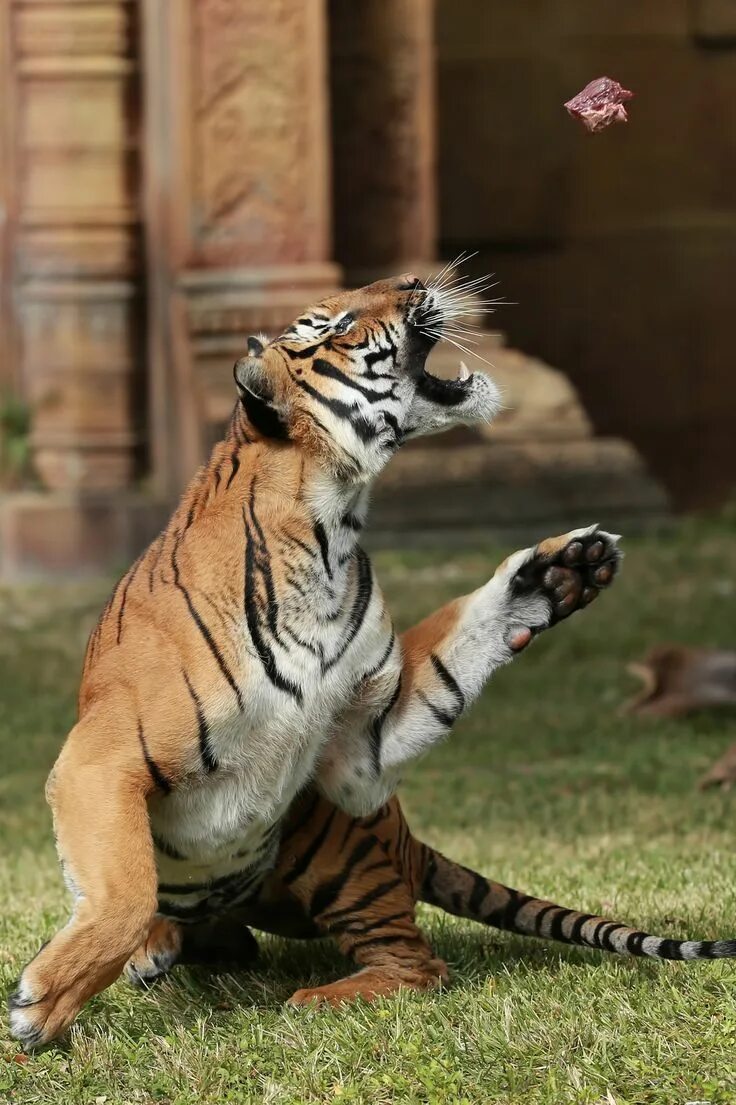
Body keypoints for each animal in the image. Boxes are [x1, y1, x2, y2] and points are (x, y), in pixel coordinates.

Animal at [9, 273, 733, 1051]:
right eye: (336, 324)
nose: (415, 280)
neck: (330, 526)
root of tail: (409, 842)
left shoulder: (356, 756)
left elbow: (450, 663)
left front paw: (557, 574)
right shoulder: (102, 758)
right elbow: (126, 886)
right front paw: (41, 1006)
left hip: (338, 843)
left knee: (414, 962)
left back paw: (307, 995)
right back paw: (187, 955)